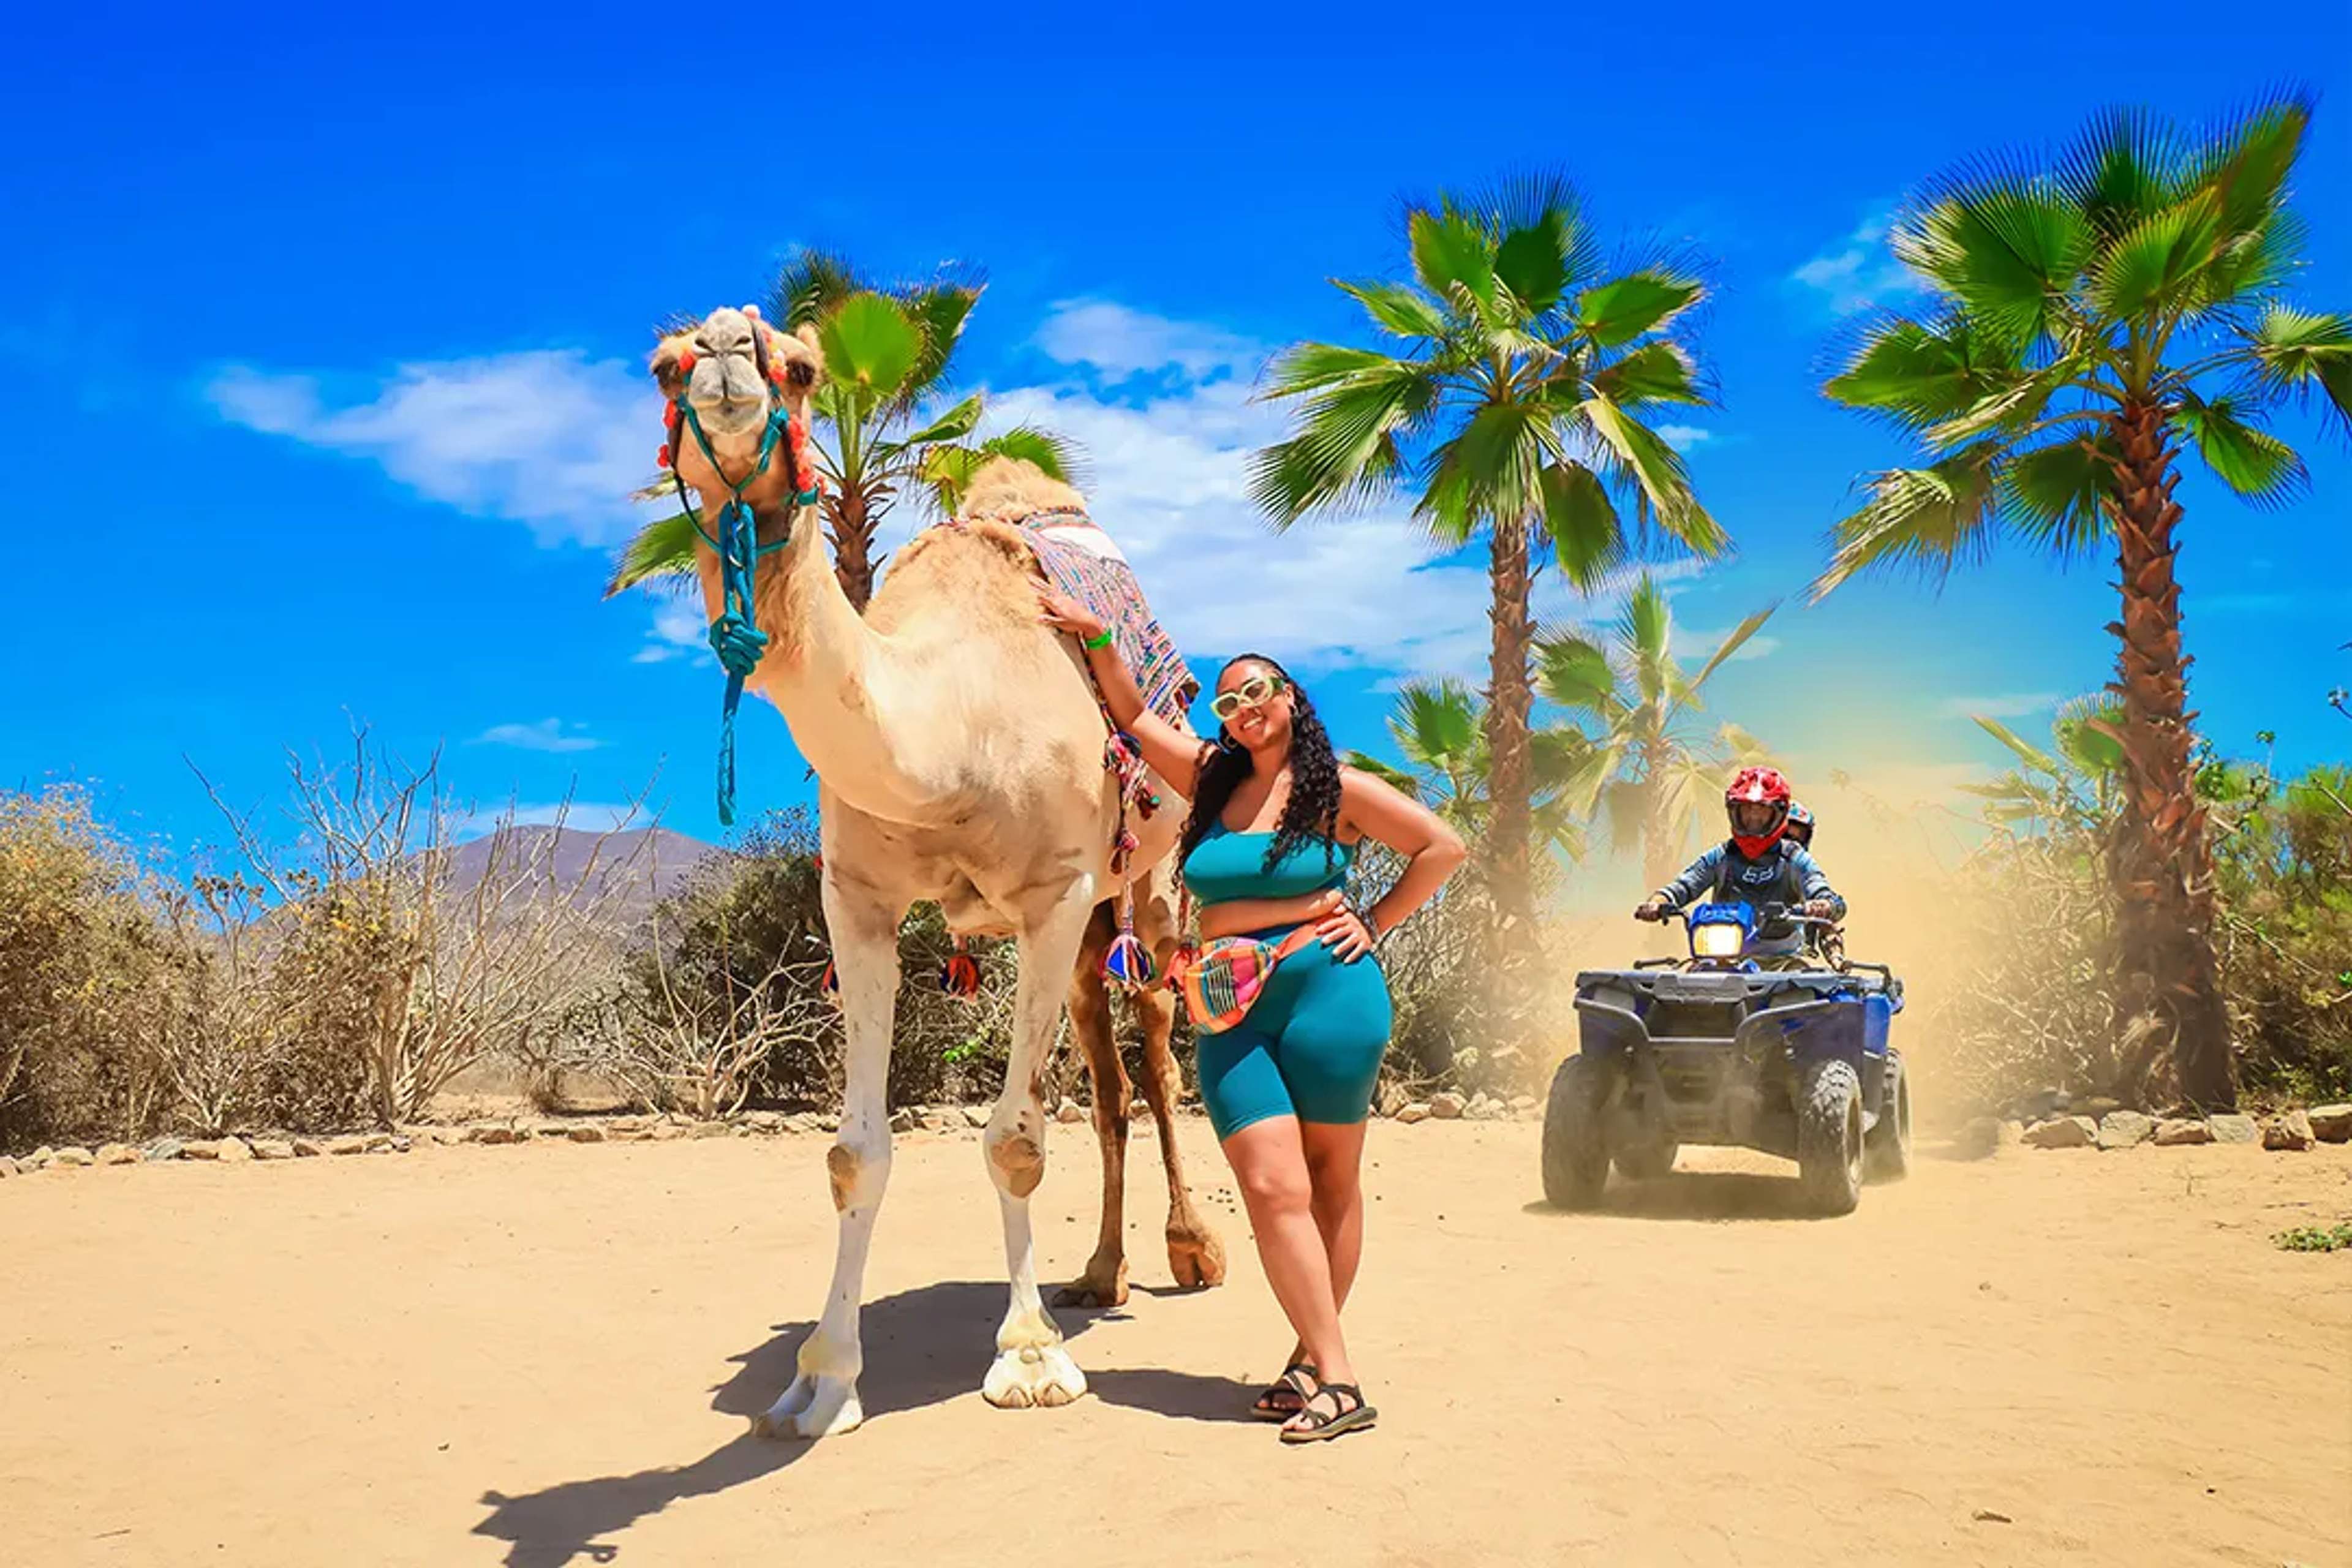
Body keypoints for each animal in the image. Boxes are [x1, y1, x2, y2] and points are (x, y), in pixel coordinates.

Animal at [651, 305, 1223, 1436]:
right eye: (663, 365)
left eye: (803, 368)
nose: (729, 353)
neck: (955, 724)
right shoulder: (858, 900)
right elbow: (853, 1154)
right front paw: (822, 1381)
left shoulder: (1052, 895)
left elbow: (1014, 1138)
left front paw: (1030, 1358)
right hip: (1086, 933)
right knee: (1104, 1082)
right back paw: (1097, 1273)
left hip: (1143, 886)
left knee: (1157, 1051)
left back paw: (1188, 1251)